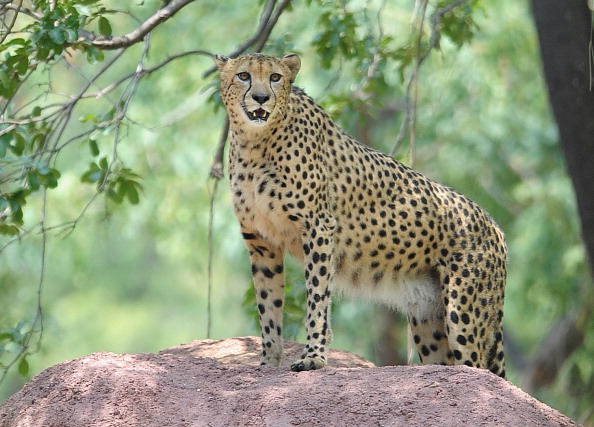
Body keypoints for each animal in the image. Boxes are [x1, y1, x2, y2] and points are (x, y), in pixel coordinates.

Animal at [213, 52, 504, 378]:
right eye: (244, 75)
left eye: (275, 77)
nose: (261, 98)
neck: (256, 143)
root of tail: (494, 226)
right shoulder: (261, 241)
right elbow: (269, 306)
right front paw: (268, 361)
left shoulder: (318, 228)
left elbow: (317, 298)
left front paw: (314, 357)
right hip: (428, 320)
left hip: (463, 316)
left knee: (479, 368)